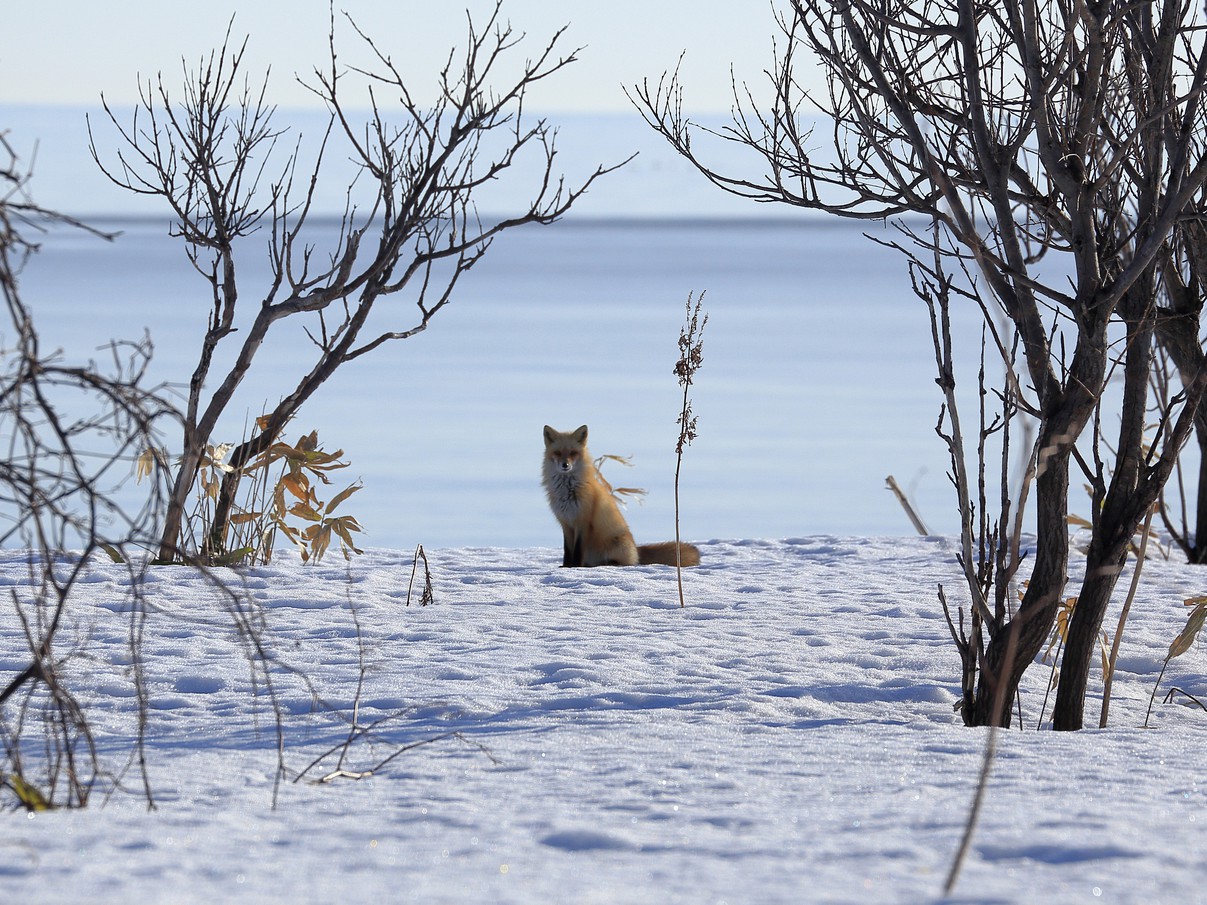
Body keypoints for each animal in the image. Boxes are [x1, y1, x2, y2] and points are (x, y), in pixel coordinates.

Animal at [543, 424, 704, 567]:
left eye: (573, 453)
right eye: (558, 453)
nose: (565, 465)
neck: (567, 491)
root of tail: (637, 549)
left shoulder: (583, 522)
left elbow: (576, 551)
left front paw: (575, 567)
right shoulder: (566, 523)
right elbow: (567, 551)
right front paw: (566, 566)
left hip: (616, 544)